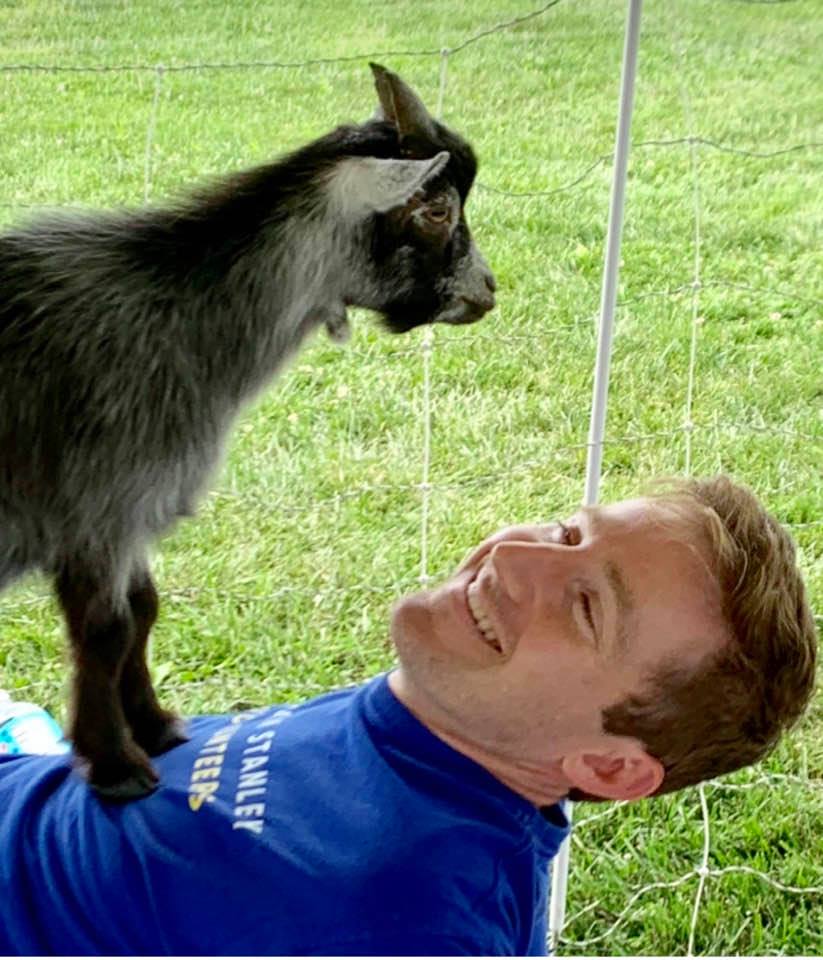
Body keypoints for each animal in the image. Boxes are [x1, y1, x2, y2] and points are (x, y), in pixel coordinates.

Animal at [0, 63, 495, 799]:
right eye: (436, 211)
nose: (487, 290)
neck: (175, 308)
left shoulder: (136, 511)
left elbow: (144, 609)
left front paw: (157, 727)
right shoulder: (97, 510)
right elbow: (108, 630)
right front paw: (116, 764)